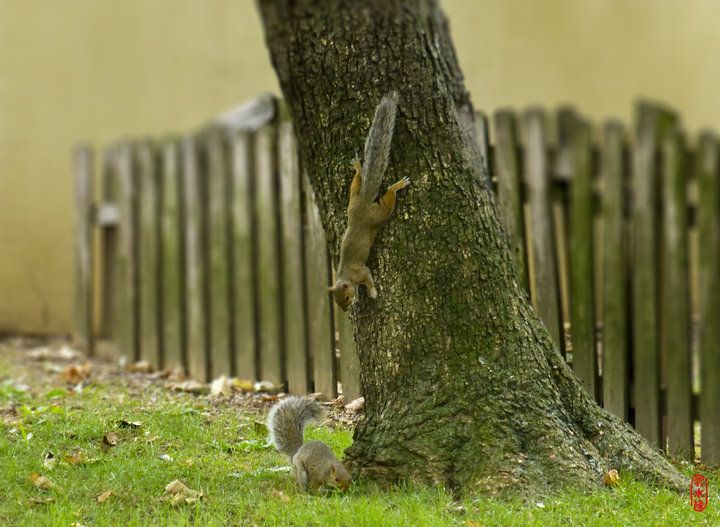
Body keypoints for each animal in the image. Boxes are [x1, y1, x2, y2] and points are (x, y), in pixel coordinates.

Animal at [328, 91, 408, 312]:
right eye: (338, 303)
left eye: (346, 297)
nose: (346, 309)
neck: (345, 276)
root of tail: (364, 201)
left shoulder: (362, 272)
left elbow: (369, 279)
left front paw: (372, 293)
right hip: (353, 200)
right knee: (357, 182)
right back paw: (358, 167)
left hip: (378, 215)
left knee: (388, 198)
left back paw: (397, 185)